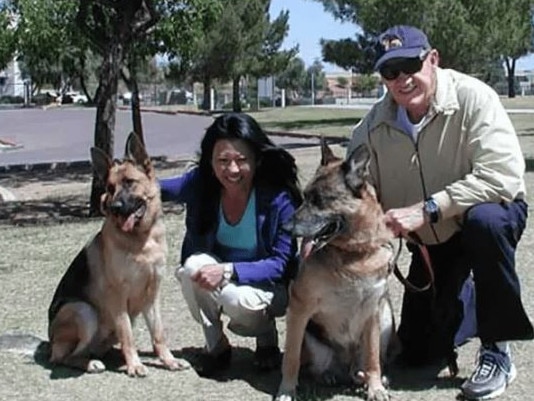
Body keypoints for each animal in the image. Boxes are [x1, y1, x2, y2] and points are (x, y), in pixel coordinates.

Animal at [47, 132, 191, 376]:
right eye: (110, 186)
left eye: (130, 183)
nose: (113, 207)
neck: (140, 241)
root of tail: (50, 341)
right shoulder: (118, 296)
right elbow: (128, 336)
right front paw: (135, 365)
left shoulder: (152, 294)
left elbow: (158, 334)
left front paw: (168, 360)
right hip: (83, 311)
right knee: (66, 357)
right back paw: (91, 363)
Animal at [276, 140, 398, 400]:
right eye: (305, 197)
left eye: (320, 200)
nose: (285, 227)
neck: (353, 254)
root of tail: (347, 366)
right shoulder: (299, 308)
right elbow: (290, 357)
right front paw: (287, 390)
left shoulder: (373, 311)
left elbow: (373, 358)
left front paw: (375, 388)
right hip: (314, 342)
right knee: (314, 367)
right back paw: (329, 376)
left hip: (385, 320)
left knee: (367, 363)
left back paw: (369, 378)